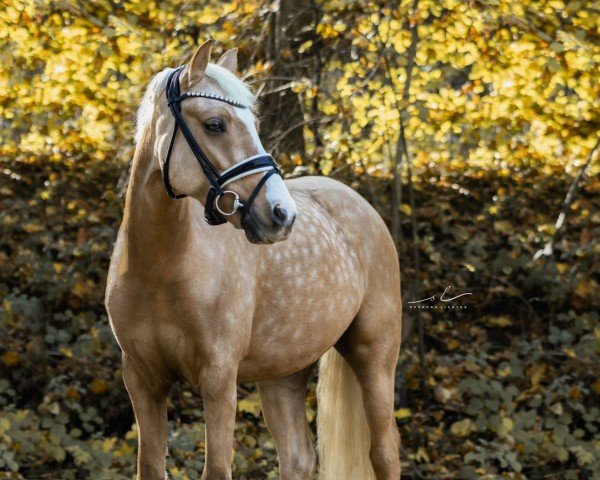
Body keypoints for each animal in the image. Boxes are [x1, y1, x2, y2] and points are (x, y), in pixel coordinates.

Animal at [105, 38, 404, 480]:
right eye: (215, 124)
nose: (282, 214)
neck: (159, 269)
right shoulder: (143, 381)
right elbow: (150, 467)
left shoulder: (218, 380)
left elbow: (216, 469)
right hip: (283, 375)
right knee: (297, 459)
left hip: (375, 357)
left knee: (384, 451)